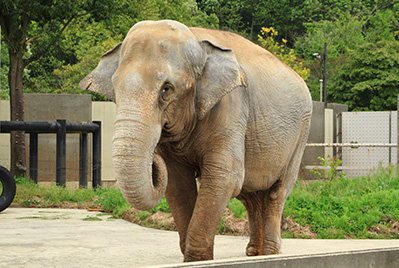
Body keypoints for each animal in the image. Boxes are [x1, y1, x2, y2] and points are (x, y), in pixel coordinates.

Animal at [80, 20, 312, 262]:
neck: (197, 40)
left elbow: (224, 176)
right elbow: (177, 182)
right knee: (250, 196)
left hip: (301, 133)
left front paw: (197, 259)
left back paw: (268, 254)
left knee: (276, 193)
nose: (153, 159)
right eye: (115, 88)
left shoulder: (231, 105)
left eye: (166, 89)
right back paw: (252, 253)